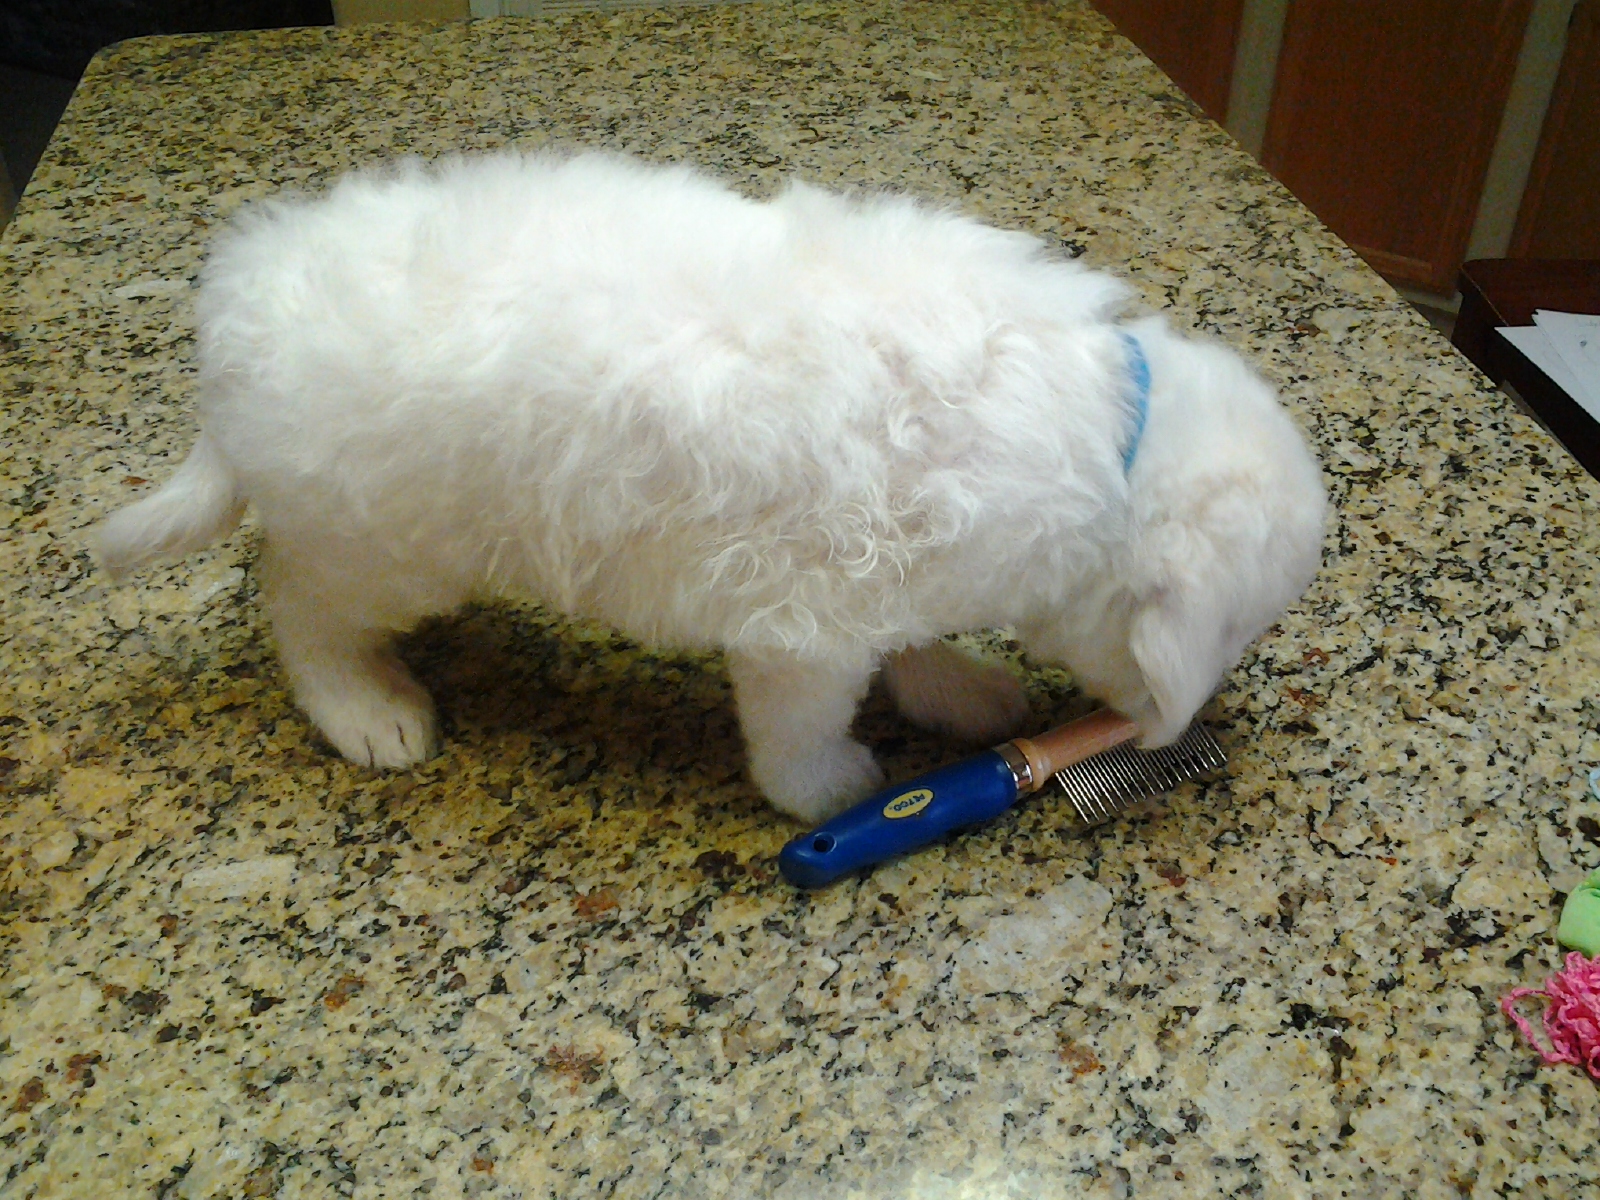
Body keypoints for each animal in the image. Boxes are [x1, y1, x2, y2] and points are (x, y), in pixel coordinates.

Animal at [94, 151, 1327, 822]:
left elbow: (917, 642)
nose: (1181, 724)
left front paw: (961, 692)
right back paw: (369, 711)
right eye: (1240, 632)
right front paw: (835, 789)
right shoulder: (805, 629)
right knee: (297, 610)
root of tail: (230, 325)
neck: (1116, 444)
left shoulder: (896, 568)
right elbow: (801, 731)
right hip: (384, 545)